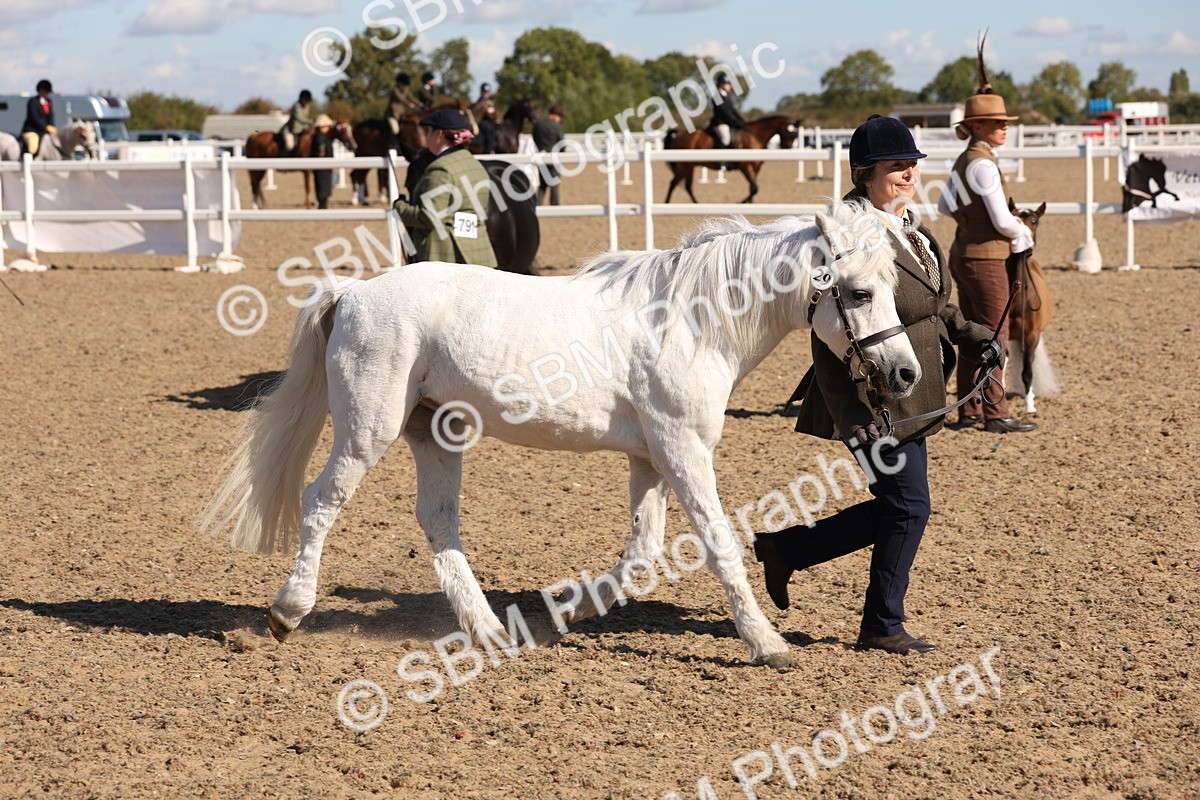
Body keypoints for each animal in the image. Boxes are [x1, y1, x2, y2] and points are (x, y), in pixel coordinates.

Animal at [199, 200, 920, 670]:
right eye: (858, 292)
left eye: (891, 285)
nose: (905, 372)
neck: (692, 322)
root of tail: (351, 294)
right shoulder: (683, 450)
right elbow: (716, 543)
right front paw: (768, 645)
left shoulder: (650, 458)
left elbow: (641, 554)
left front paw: (565, 614)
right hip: (366, 431)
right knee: (322, 501)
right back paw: (287, 611)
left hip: (437, 432)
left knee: (438, 520)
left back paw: (490, 631)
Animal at [663, 115, 801, 204]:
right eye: (791, 133)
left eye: (796, 135)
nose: (787, 147)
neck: (755, 137)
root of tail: (679, 134)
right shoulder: (745, 167)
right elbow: (755, 188)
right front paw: (742, 202)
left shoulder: (756, 168)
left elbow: (753, 188)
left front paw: (749, 203)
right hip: (687, 166)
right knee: (685, 185)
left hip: (684, 167)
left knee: (674, 183)